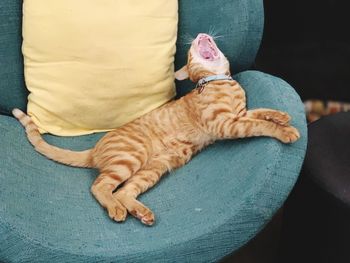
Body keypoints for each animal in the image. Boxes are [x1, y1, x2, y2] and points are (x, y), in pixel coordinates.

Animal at [12, 33, 300, 227]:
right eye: (191, 51)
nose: (199, 36)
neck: (220, 81)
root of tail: (94, 149)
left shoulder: (237, 115)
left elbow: (260, 112)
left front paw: (282, 116)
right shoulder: (226, 124)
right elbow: (259, 124)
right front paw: (285, 131)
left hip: (155, 167)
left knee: (125, 191)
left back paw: (140, 211)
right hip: (130, 158)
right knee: (100, 186)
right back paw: (116, 209)